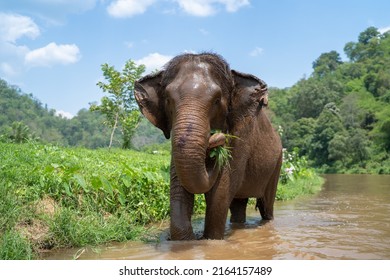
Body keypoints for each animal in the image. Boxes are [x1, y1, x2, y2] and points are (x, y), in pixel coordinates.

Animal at [136, 53, 282, 241]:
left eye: (217, 100)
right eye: (168, 100)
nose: (216, 138)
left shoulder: (242, 134)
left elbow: (221, 191)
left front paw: (210, 240)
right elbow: (179, 187)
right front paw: (186, 240)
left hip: (277, 164)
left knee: (266, 204)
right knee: (238, 204)